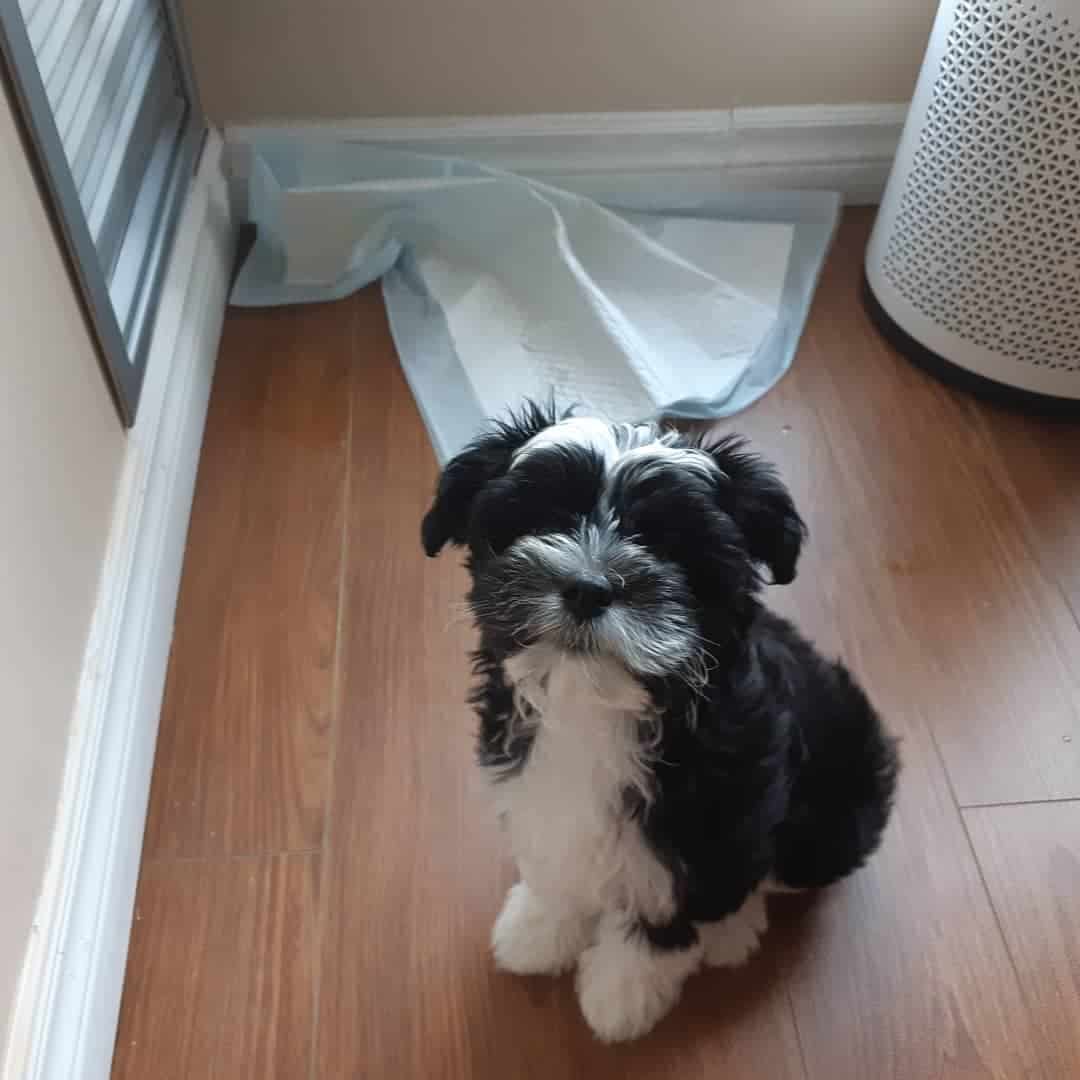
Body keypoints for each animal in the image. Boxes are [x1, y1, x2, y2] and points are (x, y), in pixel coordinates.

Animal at [421, 401, 902, 1041]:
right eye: (546, 516)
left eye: (668, 545)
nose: (588, 587)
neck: (598, 707)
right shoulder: (536, 792)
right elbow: (557, 863)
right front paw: (539, 930)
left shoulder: (705, 834)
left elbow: (663, 917)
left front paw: (621, 995)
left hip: (832, 823)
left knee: (767, 877)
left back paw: (733, 932)